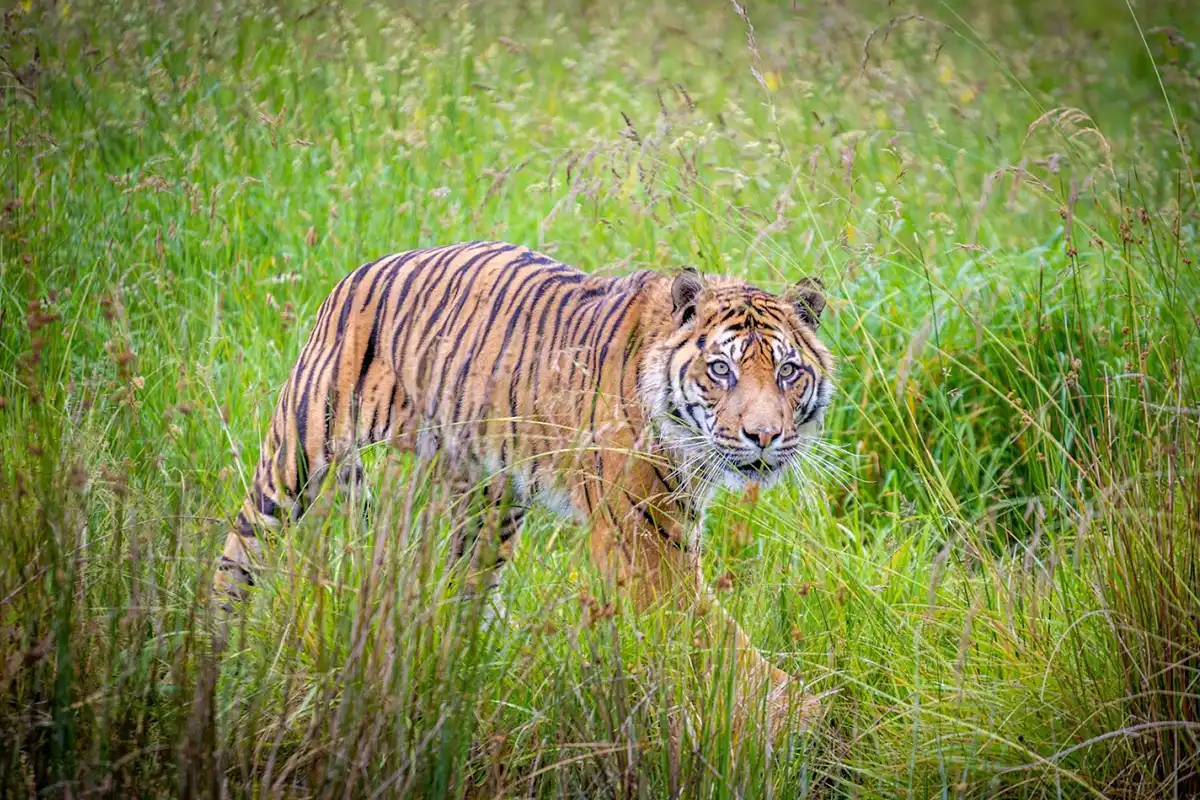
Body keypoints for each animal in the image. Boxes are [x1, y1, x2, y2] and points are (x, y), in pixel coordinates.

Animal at [215, 240, 833, 731]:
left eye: (788, 372)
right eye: (721, 370)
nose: (763, 435)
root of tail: (363, 268)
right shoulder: (645, 544)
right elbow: (718, 636)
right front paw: (796, 715)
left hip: (488, 506)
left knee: (461, 591)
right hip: (297, 454)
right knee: (238, 552)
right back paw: (218, 658)